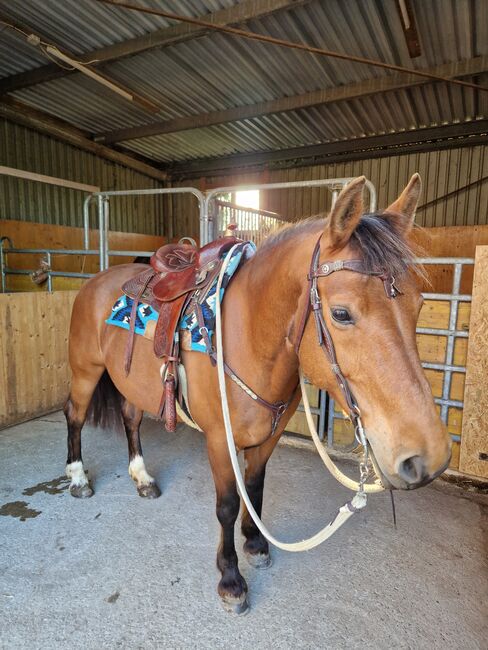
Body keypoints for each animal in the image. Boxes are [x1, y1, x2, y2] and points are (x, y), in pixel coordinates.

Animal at [63, 175, 450, 612]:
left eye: (420, 305)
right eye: (341, 313)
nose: (428, 459)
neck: (246, 336)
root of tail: (97, 279)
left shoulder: (270, 434)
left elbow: (254, 488)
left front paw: (256, 545)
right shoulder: (219, 440)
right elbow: (228, 504)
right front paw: (231, 579)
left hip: (131, 382)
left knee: (130, 419)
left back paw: (142, 478)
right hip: (86, 372)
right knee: (74, 415)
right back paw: (77, 478)